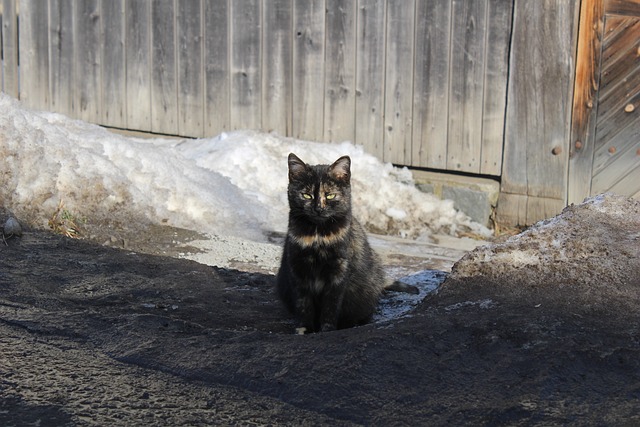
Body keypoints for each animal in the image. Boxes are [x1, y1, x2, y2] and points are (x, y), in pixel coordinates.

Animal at [276, 154, 416, 334]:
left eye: (330, 195)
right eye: (307, 195)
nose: (318, 209)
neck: (318, 235)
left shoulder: (339, 271)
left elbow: (330, 306)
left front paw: (327, 329)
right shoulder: (298, 269)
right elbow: (303, 305)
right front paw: (303, 329)